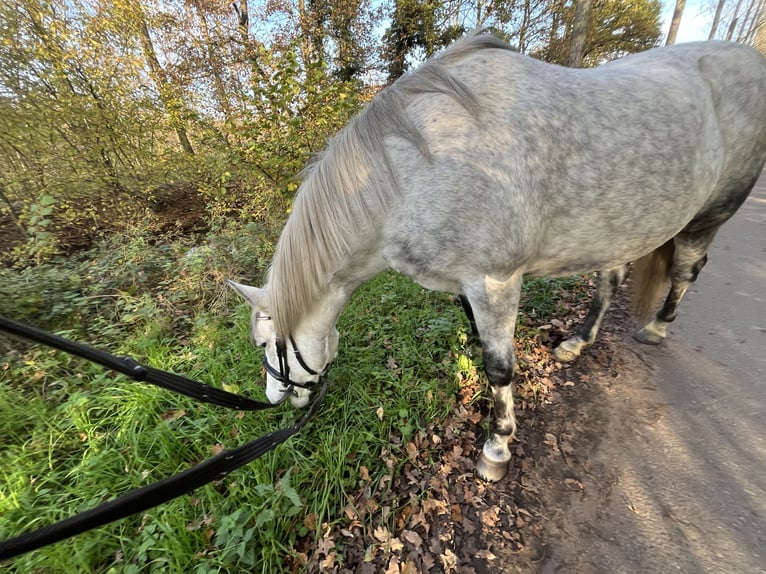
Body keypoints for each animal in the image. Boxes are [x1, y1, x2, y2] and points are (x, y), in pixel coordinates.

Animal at [230, 31, 766, 482]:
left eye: (265, 345)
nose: (274, 399)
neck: (416, 168)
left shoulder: (495, 281)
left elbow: (499, 368)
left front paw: (497, 447)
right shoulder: (465, 287)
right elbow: (484, 351)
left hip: (709, 215)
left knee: (686, 271)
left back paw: (656, 327)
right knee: (611, 278)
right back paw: (578, 342)